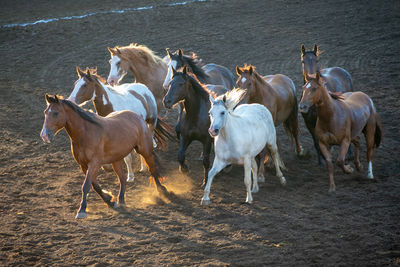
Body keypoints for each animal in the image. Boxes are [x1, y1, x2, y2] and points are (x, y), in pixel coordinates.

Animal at [39, 95, 167, 219]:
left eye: (56, 113)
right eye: (45, 112)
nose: (44, 135)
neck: (85, 134)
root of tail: (138, 116)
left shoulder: (94, 163)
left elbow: (86, 185)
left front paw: (82, 210)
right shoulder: (83, 165)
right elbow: (94, 185)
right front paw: (109, 200)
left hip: (145, 151)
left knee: (152, 170)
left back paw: (162, 192)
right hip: (116, 160)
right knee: (122, 178)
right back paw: (121, 200)